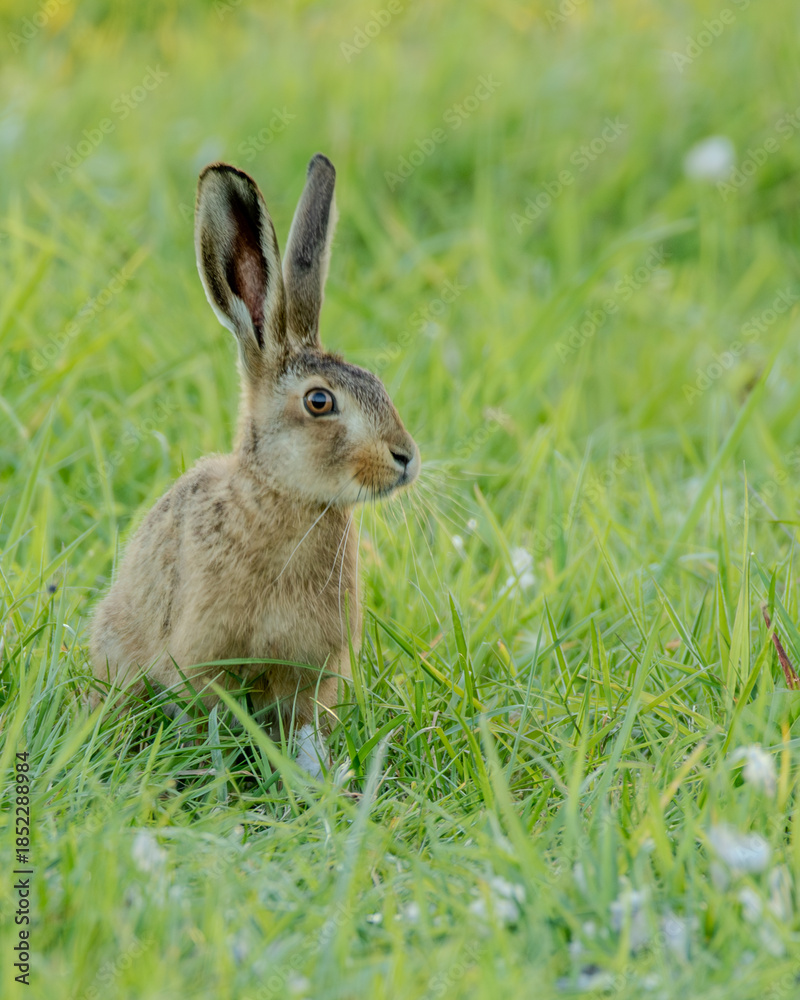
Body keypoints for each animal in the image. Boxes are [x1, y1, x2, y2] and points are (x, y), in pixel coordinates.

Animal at [89, 154, 419, 777]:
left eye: (380, 385)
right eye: (320, 402)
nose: (406, 460)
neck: (285, 496)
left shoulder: (311, 675)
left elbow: (304, 733)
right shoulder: (203, 664)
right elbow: (211, 726)